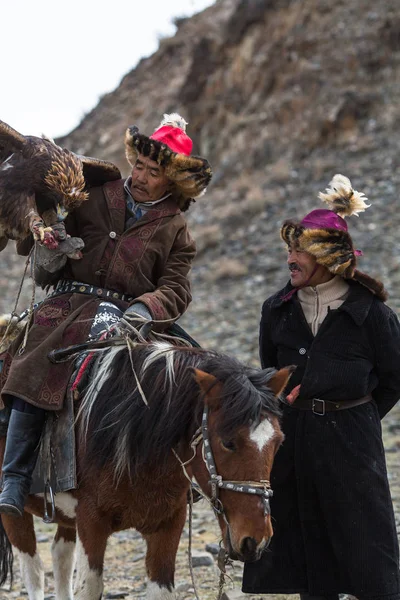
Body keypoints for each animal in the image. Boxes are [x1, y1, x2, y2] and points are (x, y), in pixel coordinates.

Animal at [0, 340, 290, 600]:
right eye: (228, 442)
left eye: (278, 442)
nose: (255, 539)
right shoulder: (91, 522)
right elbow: (88, 588)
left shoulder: (168, 523)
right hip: (15, 512)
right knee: (34, 571)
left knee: (60, 558)